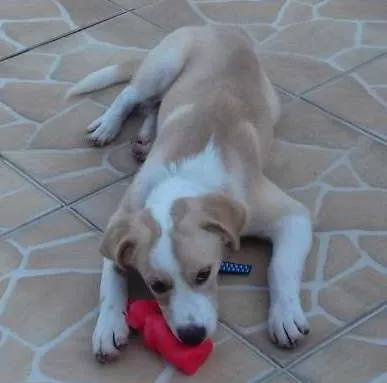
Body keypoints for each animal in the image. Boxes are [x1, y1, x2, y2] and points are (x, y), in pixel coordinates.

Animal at [67, 24, 312, 364]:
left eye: (204, 274)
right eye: (156, 285)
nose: (192, 337)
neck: (185, 180)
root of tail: (216, 27)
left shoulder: (291, 215)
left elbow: (281, 266)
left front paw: (285, 316)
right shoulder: (122, 220)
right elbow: (110, 279)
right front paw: (108, 325)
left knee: (149, 101)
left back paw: (142, 136)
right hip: (162, 68)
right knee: (133, 94)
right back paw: (111, 125)